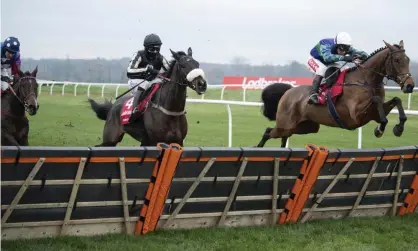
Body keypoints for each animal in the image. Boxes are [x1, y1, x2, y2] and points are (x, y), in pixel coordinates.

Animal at [255, 40, 414, 148]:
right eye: (397, 60)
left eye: (407, 59)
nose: (410, 85)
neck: (365, 80)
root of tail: (288, 92)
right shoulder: (356, 115)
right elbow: (376, 100)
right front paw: (380, 129)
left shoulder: (372, 114)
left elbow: (396, 99)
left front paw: (398, 127)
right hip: (285, 124)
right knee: (268, 132)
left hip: (306, 127)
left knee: (284, 135)